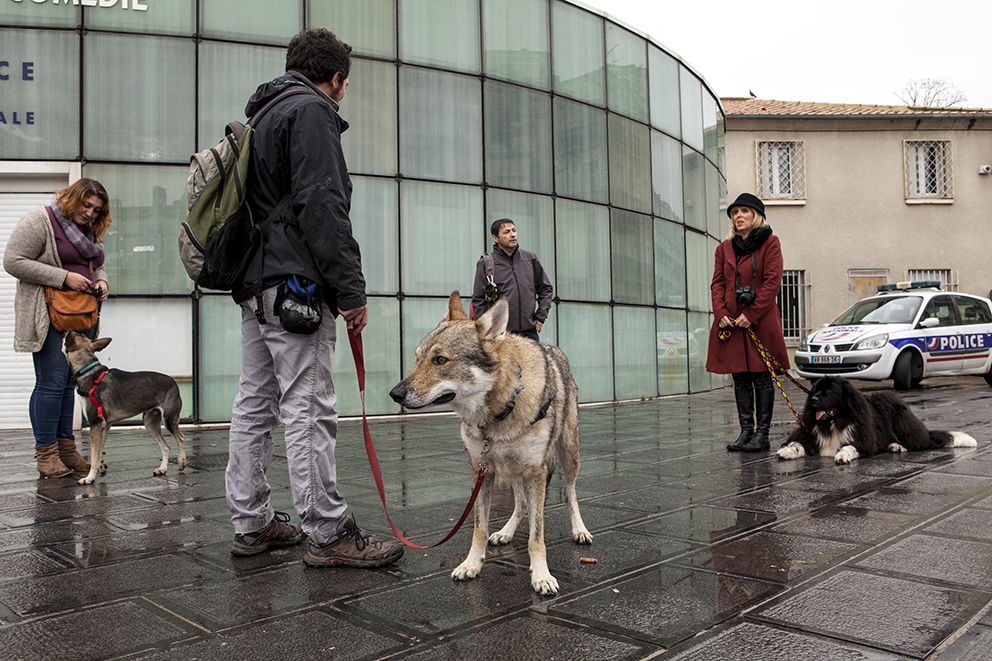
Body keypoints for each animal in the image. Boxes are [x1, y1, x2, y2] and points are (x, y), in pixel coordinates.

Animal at [776, 376, 976, 464]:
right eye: (815, 391)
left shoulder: (864, 440)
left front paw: (842, 455)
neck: (833, 422)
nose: (815, 400)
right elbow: (797, 443)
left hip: (899, 416)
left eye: (830, 391)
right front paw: (788, 451)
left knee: (918, 442)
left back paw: (898, 446)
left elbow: (850, 446)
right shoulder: (808, 433)